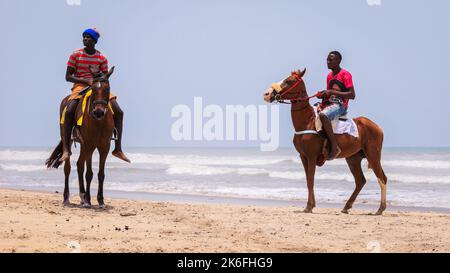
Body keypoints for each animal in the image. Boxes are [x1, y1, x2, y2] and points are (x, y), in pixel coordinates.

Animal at [46, 67, 115, 207]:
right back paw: (67, 197)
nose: (98, 112)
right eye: (93, 88)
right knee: (68, 167)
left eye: (108, 88)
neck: (99, 122)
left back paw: (82, 197)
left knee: (79, 165)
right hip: (69, 140)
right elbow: (89, 173)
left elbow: (100, 174)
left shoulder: (104, 146)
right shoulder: (89, 144)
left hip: (84, 145)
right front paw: (88, 199)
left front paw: (100, 200)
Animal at [264, 69, 386, 214]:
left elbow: (310, 180)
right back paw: (347, 206)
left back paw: (380, 208)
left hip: (373, 155)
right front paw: (311, 205)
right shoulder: (303, 156)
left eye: (289, 81)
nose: (267, 94)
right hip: (353, 158)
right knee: (360, 181)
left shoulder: (311, 156)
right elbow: (308, 180)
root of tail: (377, 127)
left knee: (381, 178)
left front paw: (309, 206)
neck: (307, 121)